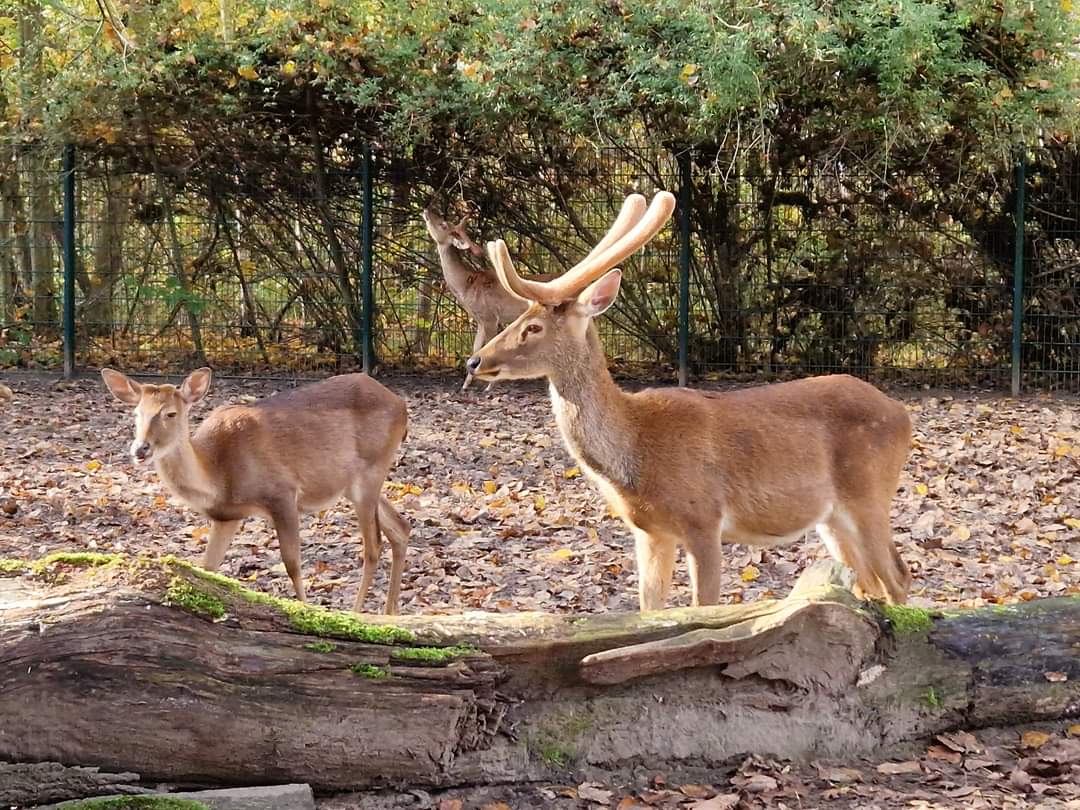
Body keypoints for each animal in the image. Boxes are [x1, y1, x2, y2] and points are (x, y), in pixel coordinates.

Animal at [101, 368, 411, 614]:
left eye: (170, 413)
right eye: (136, 413)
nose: (140, 449)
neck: (218, 473)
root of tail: (401, 405)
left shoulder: (282, 493)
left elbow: (292, 563)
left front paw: (305, 611)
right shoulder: (227, 516)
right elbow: (208, 567)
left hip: (370, 471)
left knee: (373, 546)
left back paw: (359, 613)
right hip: (355, 482)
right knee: (400, 527)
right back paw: (391, 613)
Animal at [465, 192, 913, 611]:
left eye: (534, 327)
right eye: (520, 319)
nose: (475, 361)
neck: (638, 453)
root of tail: (902, 413)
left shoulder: (704, 517)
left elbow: (704, 607)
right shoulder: (650, 532)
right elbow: (649, 610)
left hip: (869, 492)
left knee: (897, 575)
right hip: (831, 517)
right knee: (869, 582)